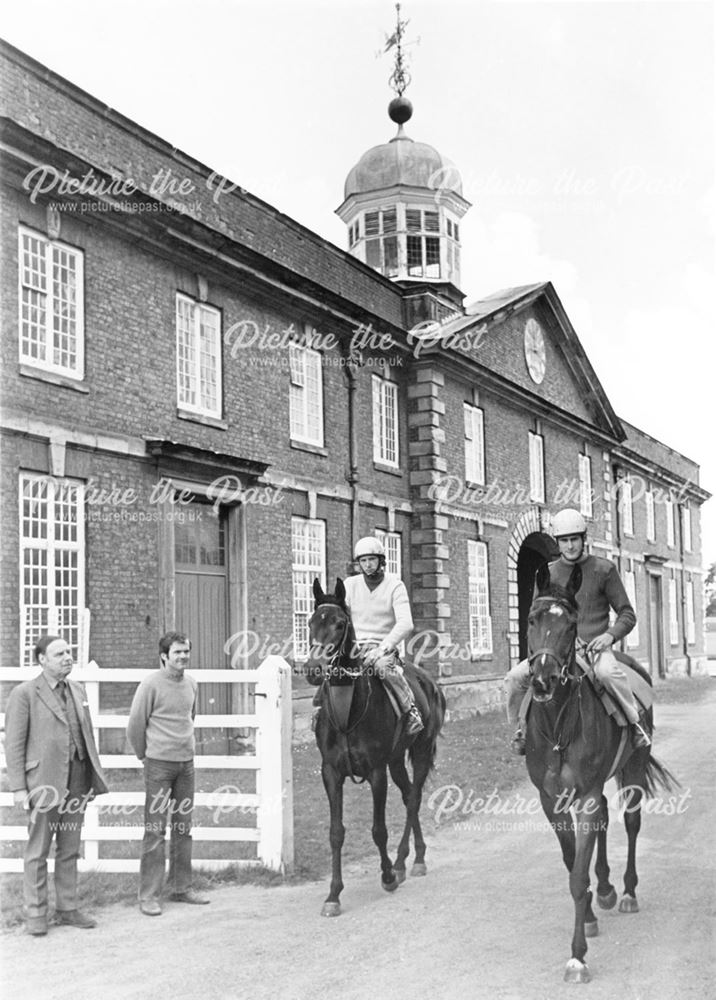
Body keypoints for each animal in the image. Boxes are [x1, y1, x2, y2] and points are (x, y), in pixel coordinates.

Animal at [304, 580, 444, 916]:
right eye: (311, 622)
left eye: (340, 624)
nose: (314, 668)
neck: (348, 713)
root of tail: (429, 681)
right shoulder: (331, 773)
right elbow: (336, 833)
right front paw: (333, 894)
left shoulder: (376, 772)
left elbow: (378, 829)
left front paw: (388, 875)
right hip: (396, 760)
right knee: (408, 796)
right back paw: (415, 857)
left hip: (420, 751)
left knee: (414, 798)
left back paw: (405, 861)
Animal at [524, 564, 676, 984]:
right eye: (532, 618)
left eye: (570, 624)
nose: (542, 681)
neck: (558, 727)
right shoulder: (552, 801)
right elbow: (571, 861)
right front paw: (591, 911)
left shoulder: (587, 796)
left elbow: (578, 874)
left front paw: (577, 956)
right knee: (608, 817)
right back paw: (606, 888)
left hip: (634, 767)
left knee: (630, 822)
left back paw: (626, 892)